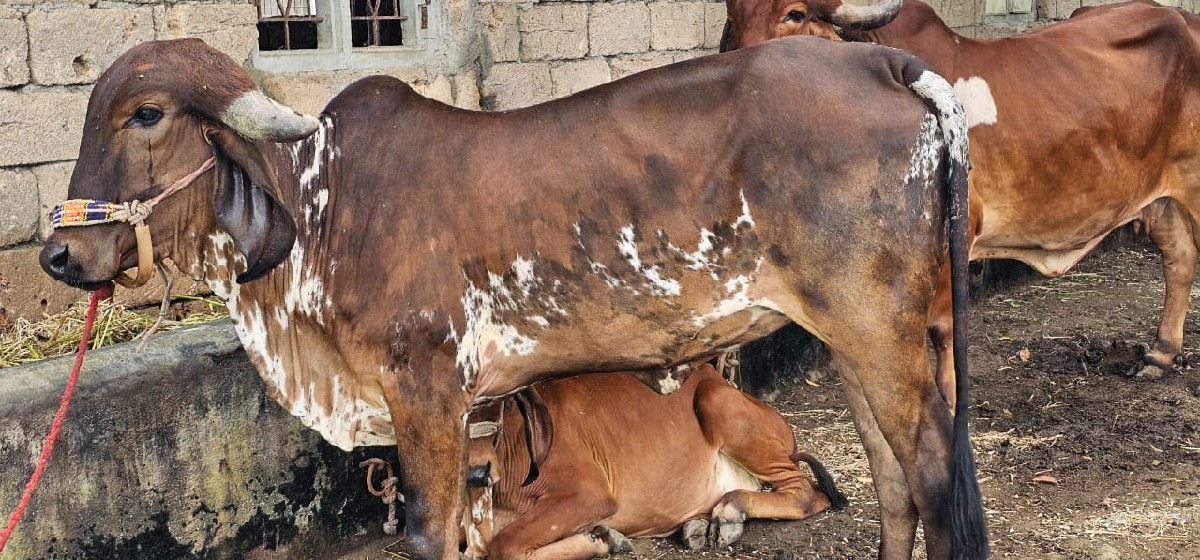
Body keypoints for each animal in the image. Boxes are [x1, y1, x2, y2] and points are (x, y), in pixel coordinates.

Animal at [460, 363, 846, 559]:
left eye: (494, 403)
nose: (476, 472)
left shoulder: (589, 493)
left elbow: (504, 545)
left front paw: (601, 540)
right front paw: (603, 536)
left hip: (717, 401)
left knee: (807, 492)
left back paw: (730, 512)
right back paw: (700, 525)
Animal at [723, 0, 1200, 399]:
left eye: (795, 13)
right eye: (733, 14)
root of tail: (1184, 17)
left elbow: (943, 330)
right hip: (1164, 196)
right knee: (1179, 258)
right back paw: (1160, 353)